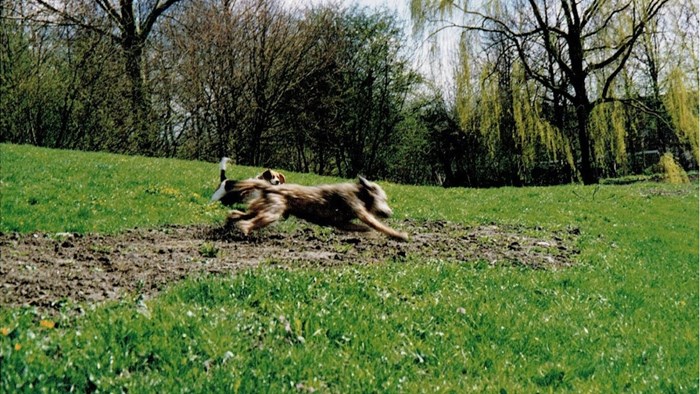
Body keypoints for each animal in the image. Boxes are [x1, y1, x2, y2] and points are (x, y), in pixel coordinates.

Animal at [227, 178, 408, 240]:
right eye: (383, 199)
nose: (390, 212)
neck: (360, 193)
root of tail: (269, 187)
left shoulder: (341, 223)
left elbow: (361, 227)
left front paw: (369, 233)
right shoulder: (358, 210)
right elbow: (378, 225)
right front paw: (399, 235)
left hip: (262, 209)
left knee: (237, 214)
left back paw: (229, 223)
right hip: (271, 213)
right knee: (247, 223)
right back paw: (243, 231)